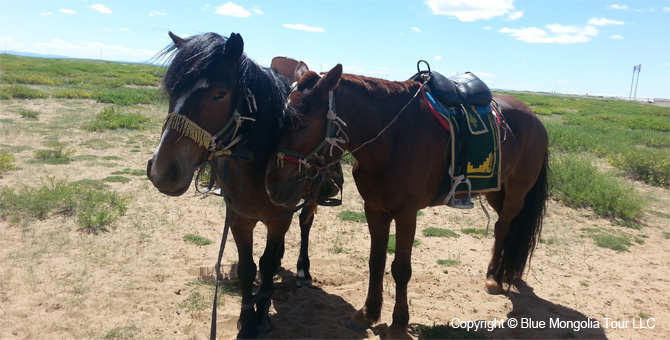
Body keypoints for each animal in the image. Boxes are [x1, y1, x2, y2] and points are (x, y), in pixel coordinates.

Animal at [149, 31, 320, 338]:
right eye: (172, 91)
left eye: (220, 94)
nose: (161, 171)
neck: (258, 167)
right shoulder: (239, 217)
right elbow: (247, 268)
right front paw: (247, 320)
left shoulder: (280, 218)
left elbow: (266, 264)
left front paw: (261, 316)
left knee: (305, 224)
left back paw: (303, 269)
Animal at [266, 64, 548, 340]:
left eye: (302, 124)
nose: (272, 186)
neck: (392, 139)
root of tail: (534, 118)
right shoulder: (374, 210)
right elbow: (376, 261)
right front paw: (367, 313)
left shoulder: (406, 214)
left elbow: (401, 269)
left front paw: (398, 325)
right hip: (496, 190)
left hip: (517, 191)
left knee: (503, 228)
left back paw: (494, 278)